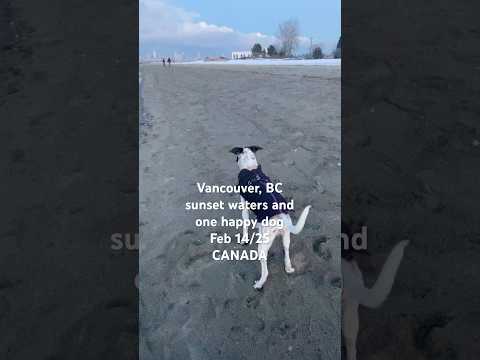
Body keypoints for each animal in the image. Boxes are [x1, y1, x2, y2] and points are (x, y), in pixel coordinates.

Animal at [230, 146, 312, 290]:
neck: (251, 169)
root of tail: (280, 217)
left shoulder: (244, 206)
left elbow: (245, 223)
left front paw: (244, 240)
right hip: (286, 236)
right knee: (286, 250)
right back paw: (288, 267)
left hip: (263, 245)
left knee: (265, 270)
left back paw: (260, 283)